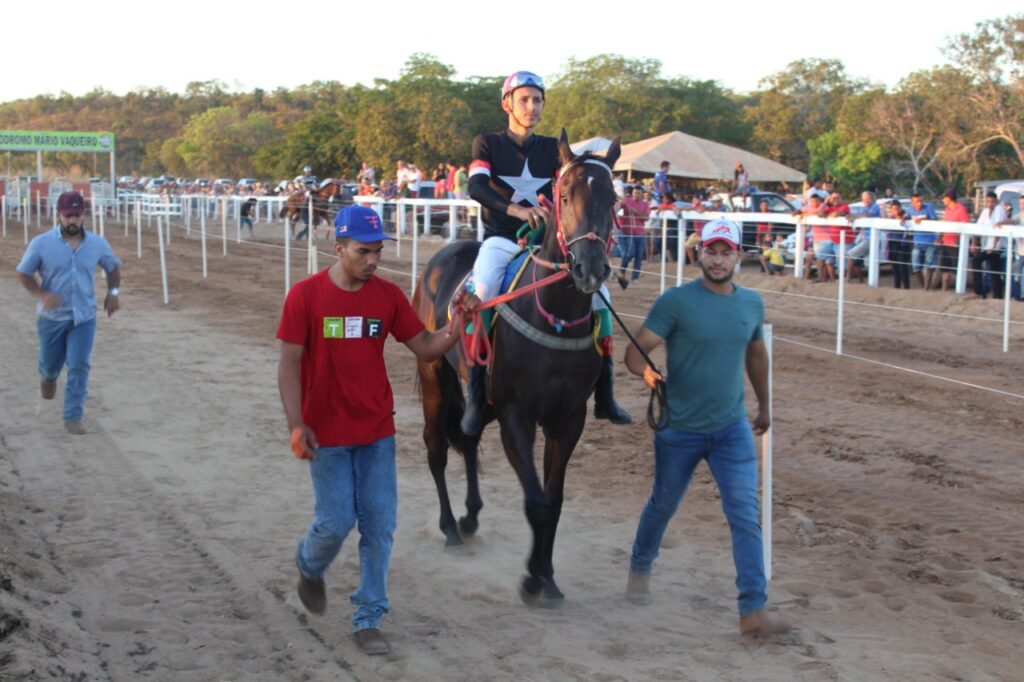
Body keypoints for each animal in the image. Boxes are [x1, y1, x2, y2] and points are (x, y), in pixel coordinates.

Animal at [409, 130, 618, 602]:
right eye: (564, 194)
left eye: (614, 197)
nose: (590, 270)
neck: (552, 315)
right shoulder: (514, 415)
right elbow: (536, 501)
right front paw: (531, 579)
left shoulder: (567, 419)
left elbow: (553, 501)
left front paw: (548, 577)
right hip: (435, 377)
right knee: (436, 449)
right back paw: (450, 529)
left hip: (479, 400)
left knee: (466, 437)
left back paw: (469, 518)